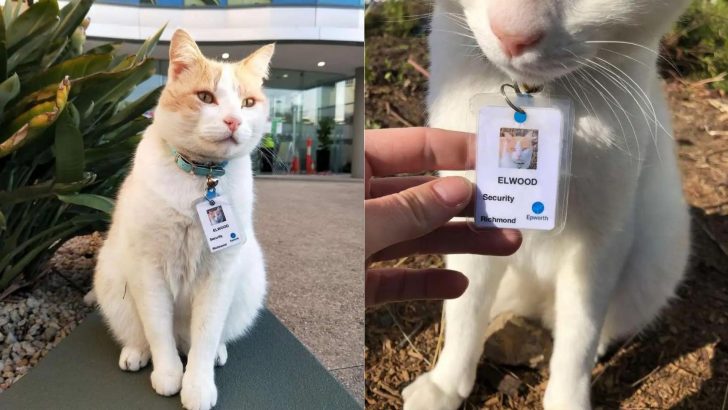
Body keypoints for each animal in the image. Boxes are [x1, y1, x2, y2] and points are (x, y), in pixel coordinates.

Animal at [90, 29, 272, 410]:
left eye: (248, 103)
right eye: (205, 97)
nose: (233, 121)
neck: (200, 177)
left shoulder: (219, 275)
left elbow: (205, 334)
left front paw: (198, 385)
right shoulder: (148, 271)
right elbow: (158, 331)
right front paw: (169, 375)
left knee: (202, 339)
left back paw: (216, 352)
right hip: (113, 281)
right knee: (142, 334)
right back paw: (136, 353)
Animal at [404, 0, 692, 410]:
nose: (512, 33)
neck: (536, 97)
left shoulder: (603, 237)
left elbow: (581, 330)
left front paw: (568, 398)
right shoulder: (475, 218)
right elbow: (464, 306)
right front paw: (446, 383)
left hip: (654, 263)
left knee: (601, 321)